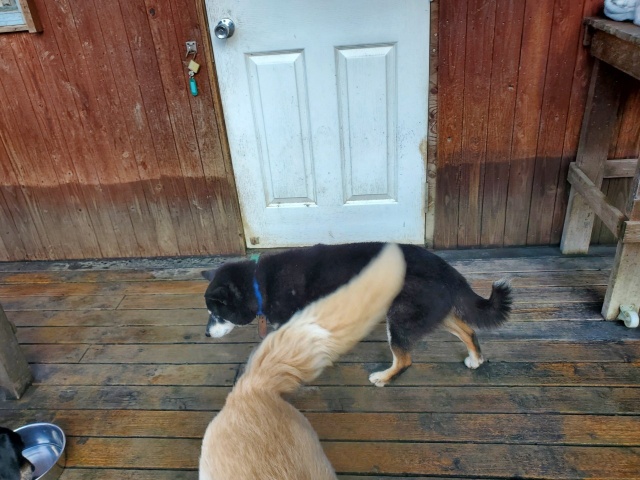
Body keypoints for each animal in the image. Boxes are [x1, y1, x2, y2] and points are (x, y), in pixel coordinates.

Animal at [202, 242, 512, 387]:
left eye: (216, 314)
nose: (205, 333)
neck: (259, 283)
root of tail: (446, 268)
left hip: (399, 317)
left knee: (405, 360)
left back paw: (384, 378)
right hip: (433, 310)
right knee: (468, 330)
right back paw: (475, 359)